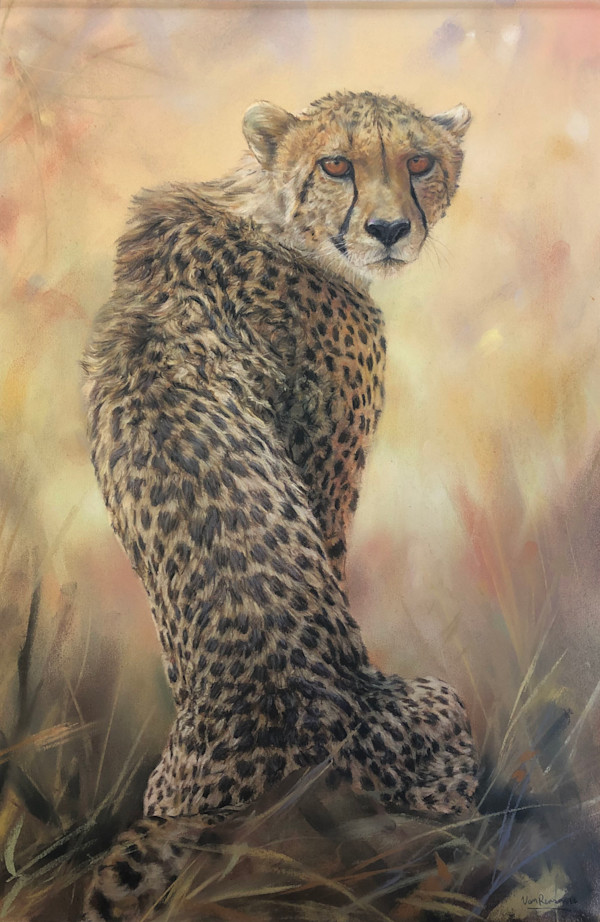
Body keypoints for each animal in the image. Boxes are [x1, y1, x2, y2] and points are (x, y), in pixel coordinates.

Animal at [81, 90, 477, 921]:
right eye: (335, 164)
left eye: (419, 160)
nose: (388, 230)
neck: (267, 210)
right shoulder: (329, 469)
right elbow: (333, 546)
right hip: (439, 706)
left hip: (163, 789)